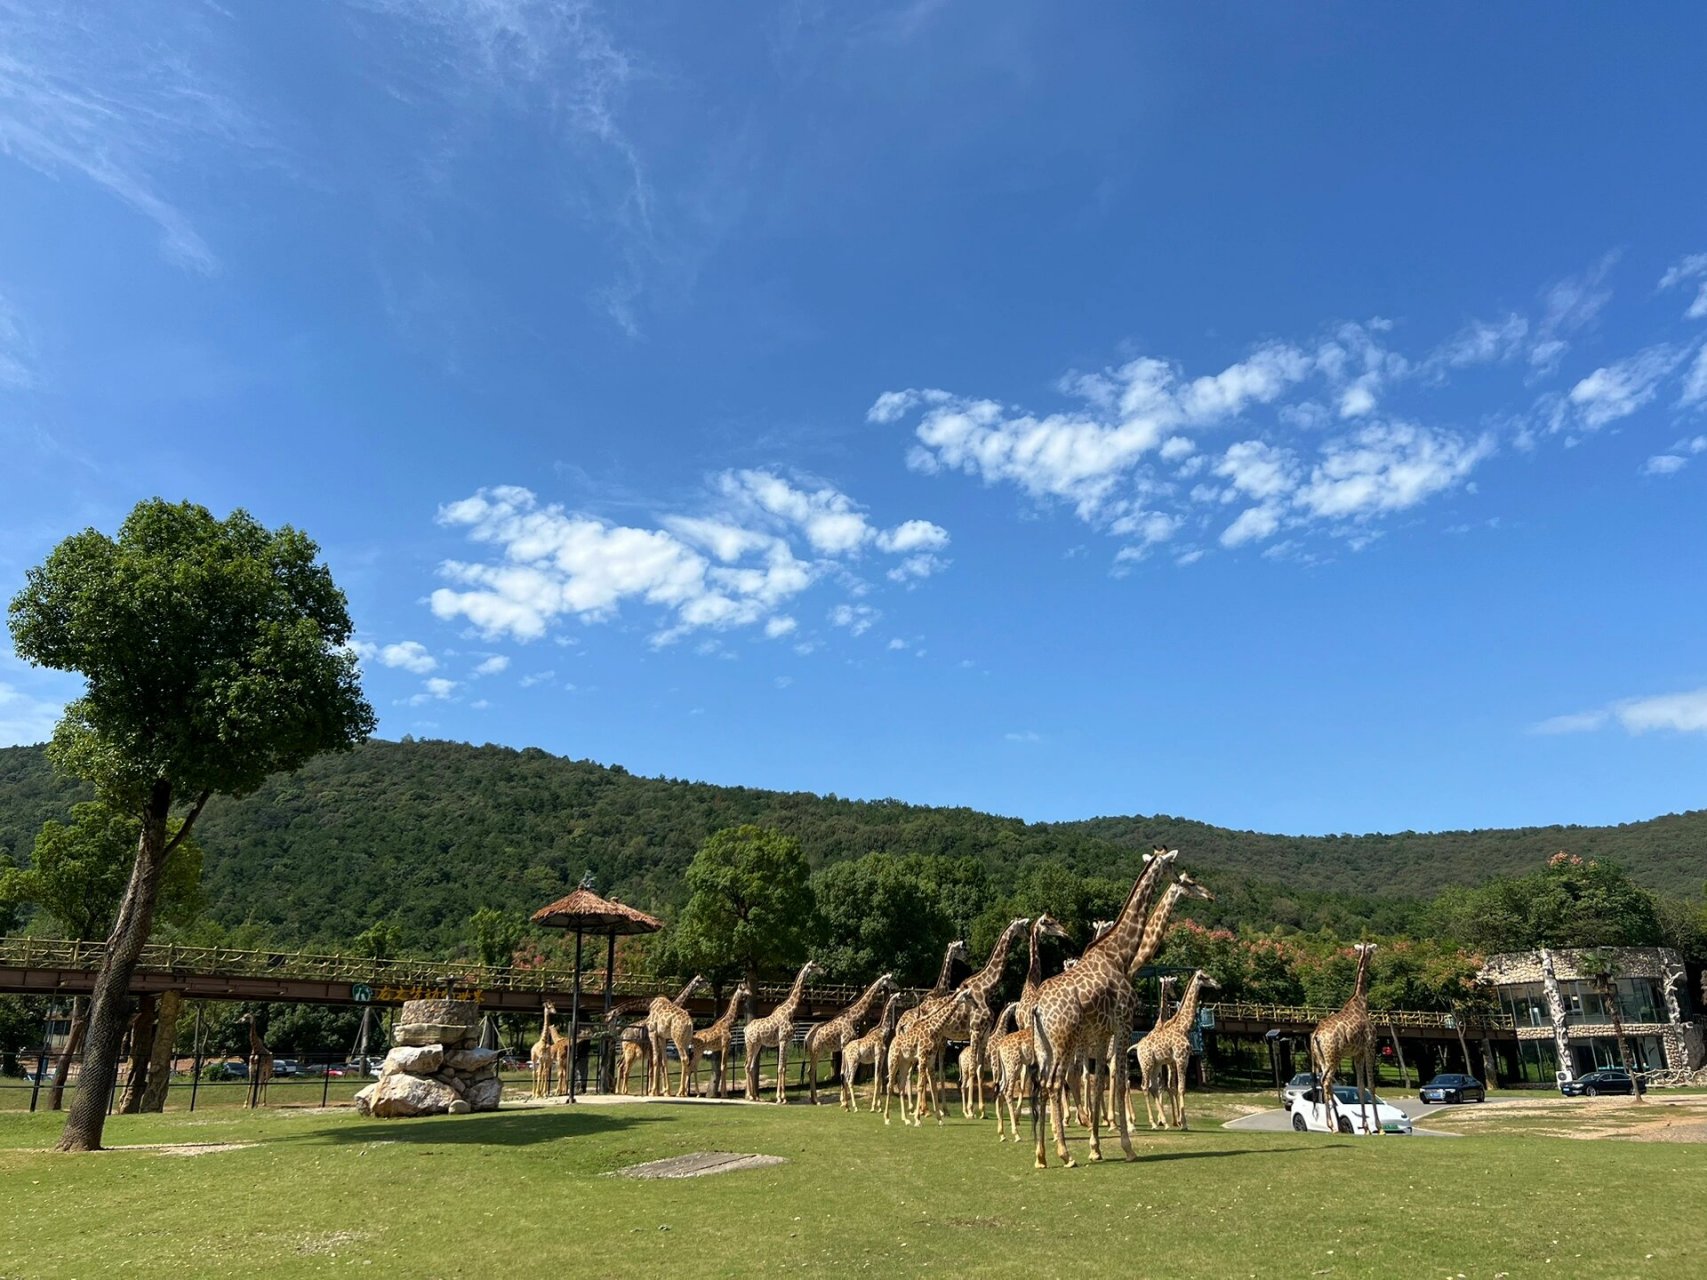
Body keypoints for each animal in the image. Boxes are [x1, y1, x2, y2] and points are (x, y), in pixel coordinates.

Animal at [740, 962, 819, 1105]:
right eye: (814, 966)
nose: (823, 971)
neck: (790, 1012)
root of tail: (745, 1029)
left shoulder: (787, 1042)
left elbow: (784, 1068)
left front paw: (784, 1097)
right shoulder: (782, 1040)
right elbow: (780, 1068)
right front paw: (779, 1098)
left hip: (757, 1045)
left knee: (751, 1066)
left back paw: (754, 1096)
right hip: (750, 1043)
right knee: (747, 1065)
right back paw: (750, 1096)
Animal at [802, 969, 901, 1105]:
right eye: (891, 979)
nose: (898, 987)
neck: (853, 1018)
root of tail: (806, 1038)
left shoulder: (848, 1044)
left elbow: (844, 1072)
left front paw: (845, 1097)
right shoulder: (845, 1043)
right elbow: (843, 1072)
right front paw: (844, 1099)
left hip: (817, 1052)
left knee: (810, 1071)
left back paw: (813, 1099)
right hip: (816, 1051)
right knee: (811, 1071)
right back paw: (816, 1100)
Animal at [880, 989, 976, 1126]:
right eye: (968, 996)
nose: (976, 1005)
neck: (934, 1028)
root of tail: (893, 1040)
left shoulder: (931, 1059)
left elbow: (934, 1087)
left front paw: (939, 1119)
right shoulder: (923, 1056)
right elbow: (920, 1085)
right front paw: (918, 1119)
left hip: (905, 1063)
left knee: (901, 1084)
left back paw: (906, 1119)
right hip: (893, 1061)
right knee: (889, 1084)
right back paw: (887, 1118)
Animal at [1024, 856, 1201, 1167]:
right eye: (1181, 873)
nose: (1206, 893)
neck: (1121, 955)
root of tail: (1036, 1005)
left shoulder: (1103, 1032)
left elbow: (1100, 1085)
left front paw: (1096, 1147)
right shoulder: (1124, 1024)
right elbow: (1118, 1083)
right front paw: (1127, 1145)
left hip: (1045, 1046)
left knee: (1043, 1085)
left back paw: (1042, 1155)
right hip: (1064, 1041)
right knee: (1056, 1083)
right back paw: (1065, 1152)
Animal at [1310, 942, 1379, 1133]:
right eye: (1372, 950)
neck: (1361, 1002)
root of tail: (1316, 1035)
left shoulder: (1357, 1054)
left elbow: (1360, 1086)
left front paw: (1366, 1128)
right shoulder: (1370, 1047)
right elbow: (1371, 1085)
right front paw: (1378, 1128)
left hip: (1323, 1058)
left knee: (1325, 1082)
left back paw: (1336, 1125)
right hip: (1334, 1057)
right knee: (1326, 1081)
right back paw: (1332, 1125)